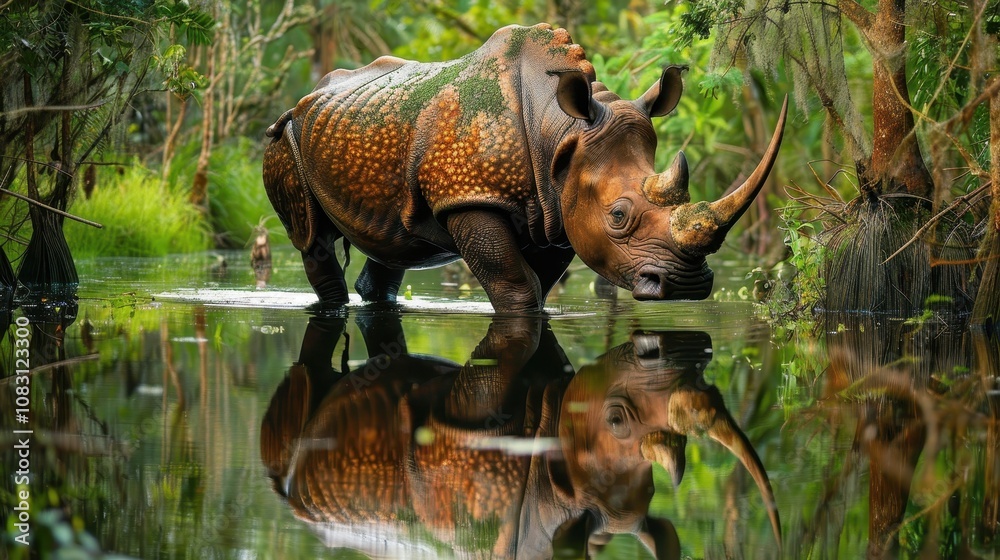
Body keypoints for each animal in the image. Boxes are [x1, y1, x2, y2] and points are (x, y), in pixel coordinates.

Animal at [263, 23, 788, 313]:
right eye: (618, 216)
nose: (687, 286)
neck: (561, 131)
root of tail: (306, 98)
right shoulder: (471, 197)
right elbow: (516, 286)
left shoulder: (558, 213)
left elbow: (540, 288)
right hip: (283, 139)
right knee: (312, 241)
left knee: (394, 242)